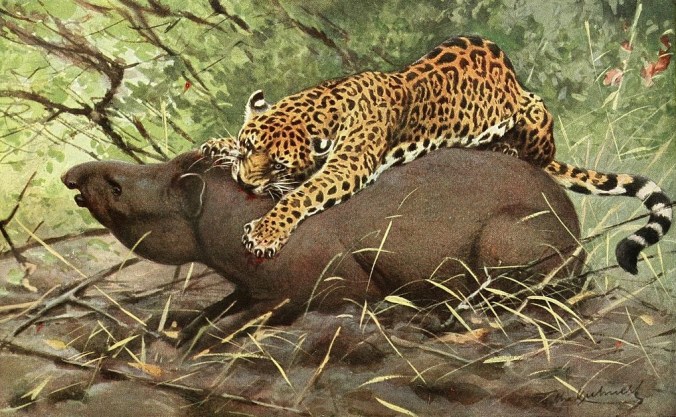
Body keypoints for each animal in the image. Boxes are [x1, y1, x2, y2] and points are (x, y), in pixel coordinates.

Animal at [200, 35, 672, 275]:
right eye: (250, 148)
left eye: (278, 163)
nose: (243, 182)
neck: (325, 102)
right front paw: (217, 145)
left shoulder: (349, 166)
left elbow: (301, 194)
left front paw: (265, 232)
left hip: (536, 111)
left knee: (536, 155)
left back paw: (502, 146)